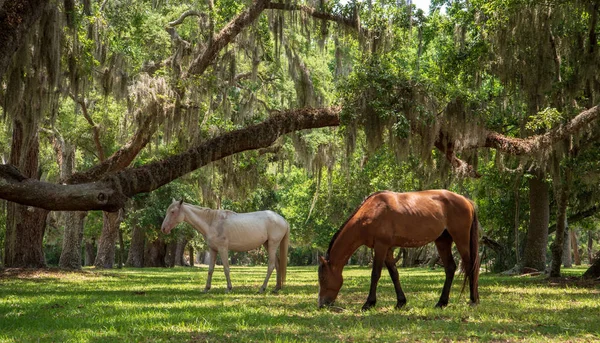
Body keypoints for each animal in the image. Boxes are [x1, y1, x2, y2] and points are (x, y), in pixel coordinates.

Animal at [161, 200, 290, 294]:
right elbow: (210, 270)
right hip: (267, 244)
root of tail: (283, 220)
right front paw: (206, 288)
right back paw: (276, 288)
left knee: (271, 266)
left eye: (172, 211)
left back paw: (262, 288)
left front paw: (229, 288)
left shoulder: (223, 249)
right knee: (277, 264)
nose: (163, 229)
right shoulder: (213, 250)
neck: (212, 222)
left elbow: (226, 268)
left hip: (272, 244)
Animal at [316, 191, 480, 312]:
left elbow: (375, 274)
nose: (322, 304)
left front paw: (369, 303)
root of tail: (466, 201)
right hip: (443, 241)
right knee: (450, 268)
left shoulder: (381, 246)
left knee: (470, 265)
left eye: (323, 278)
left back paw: (473, 299)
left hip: (461, 239)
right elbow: (394, 274)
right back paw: (441, 303)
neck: (372, 211)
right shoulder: (387, 249)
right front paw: (400, 302)